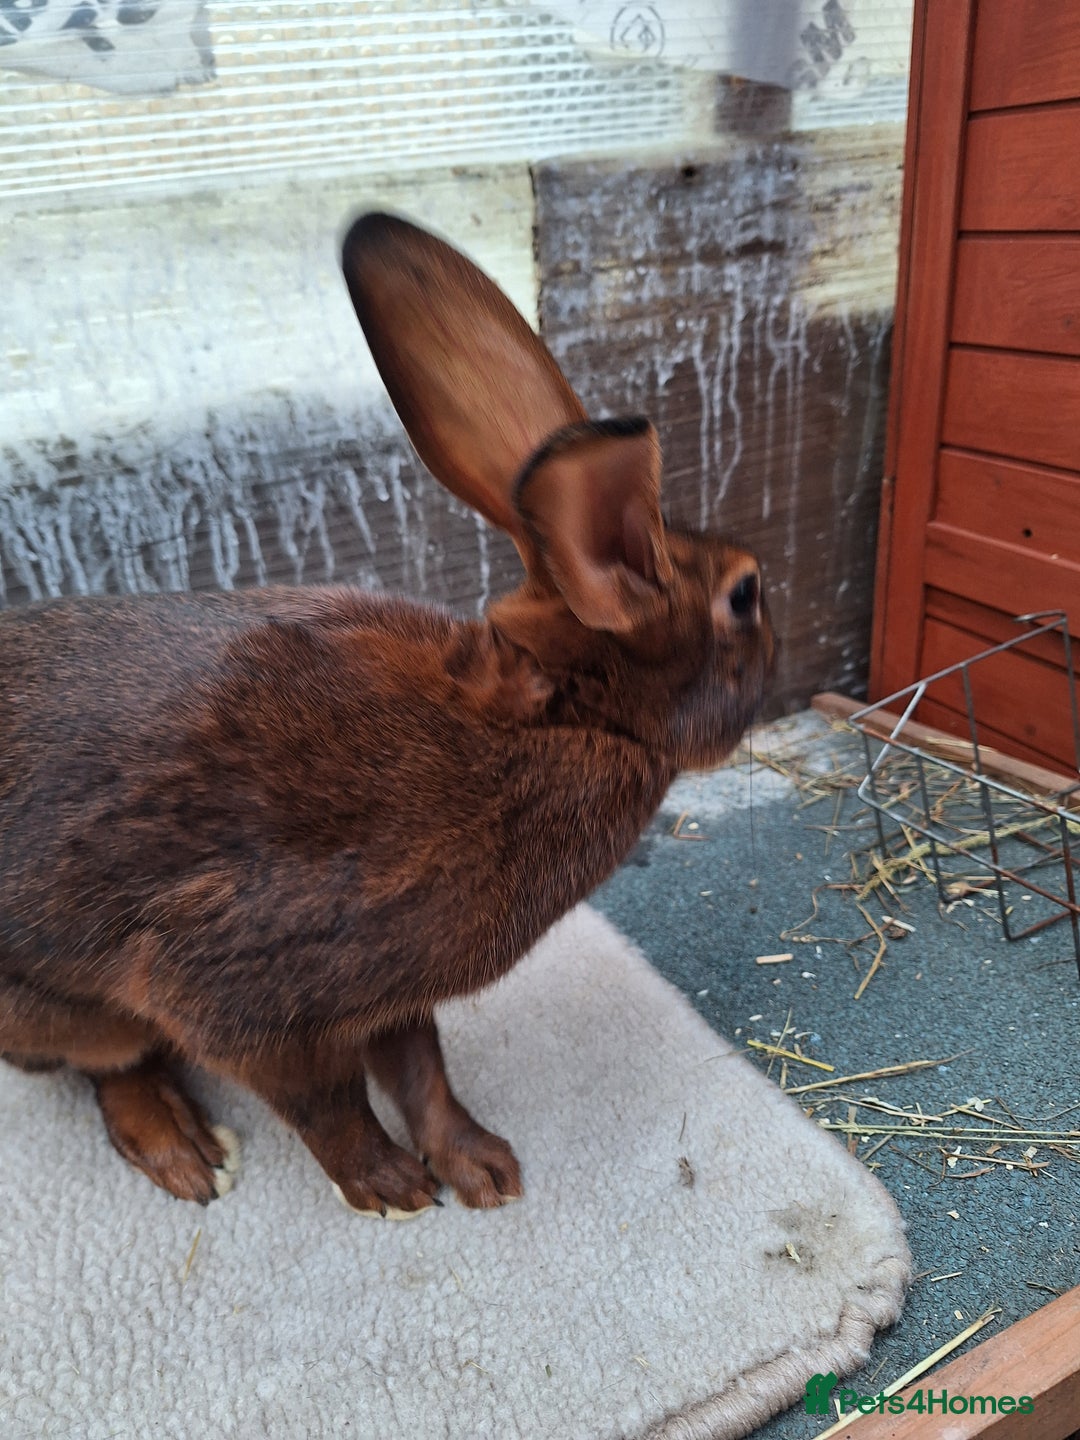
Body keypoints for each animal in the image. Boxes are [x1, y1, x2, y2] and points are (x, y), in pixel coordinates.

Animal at [0, 211, 774, 1216]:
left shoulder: (395, 994)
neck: (559, 716)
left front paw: (481, 1169)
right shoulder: (243, 993)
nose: (782, 644)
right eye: (746, 597)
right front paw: (391, 1188)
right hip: (63, 1006)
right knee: (111, 1065)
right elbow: (326, 1101)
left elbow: (420, 1068)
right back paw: (184, 1152)